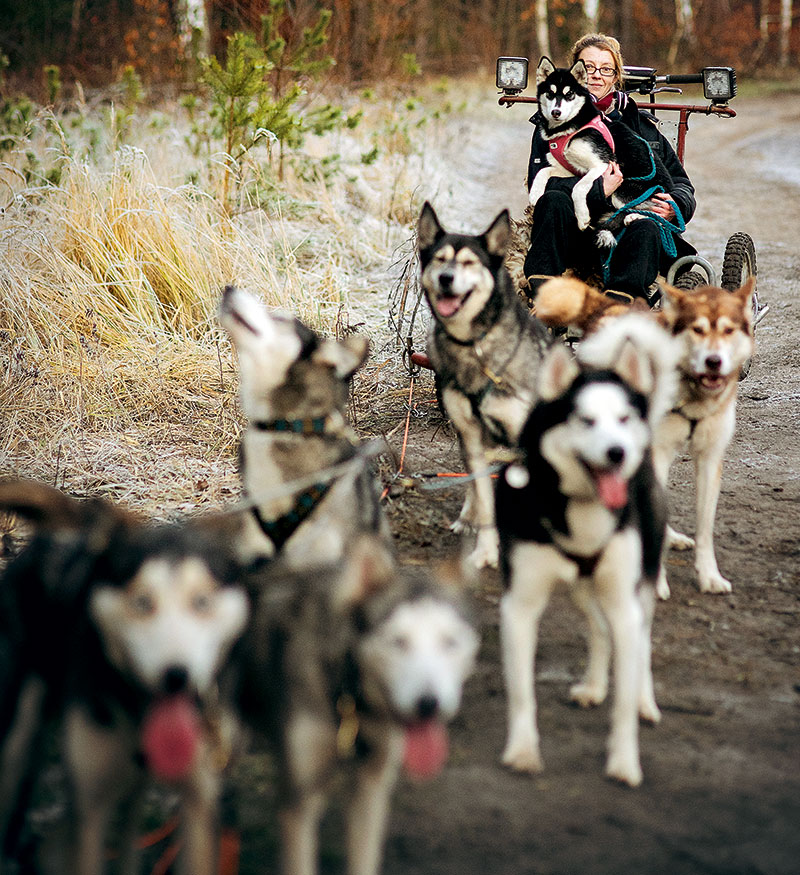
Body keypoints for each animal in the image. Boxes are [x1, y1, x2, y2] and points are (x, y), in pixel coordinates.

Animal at [0, 480, 250, 875]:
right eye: (142, 602)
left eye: (202, 602)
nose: (176, 675)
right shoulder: (90, 807)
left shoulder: (199, 800)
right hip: (18, 737)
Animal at [236, 536, 476, 875]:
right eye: (398, 641)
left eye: (450, 642)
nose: (429, 704)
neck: (349, 700)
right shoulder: (299, 801)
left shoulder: (371, 790)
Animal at [416, 200, 548, 568]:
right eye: (439, 259)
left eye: (469, 262)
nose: (446, 279)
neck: (473, 344)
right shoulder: (471, 437)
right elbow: (486, 500)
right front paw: (486, 552)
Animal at [494, 340, 668, 788]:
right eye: (585, 420)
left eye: (623, 418)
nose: (617, 452)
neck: (581, 513)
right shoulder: (519, 607)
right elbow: (522, 692)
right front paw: (523, 750)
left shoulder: (625, 604)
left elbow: (623, 696)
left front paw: (624, 762)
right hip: (581, 589)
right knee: (599, 628)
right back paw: (593, 686)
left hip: (641, 582)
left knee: (642, 640)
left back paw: (645, 700)